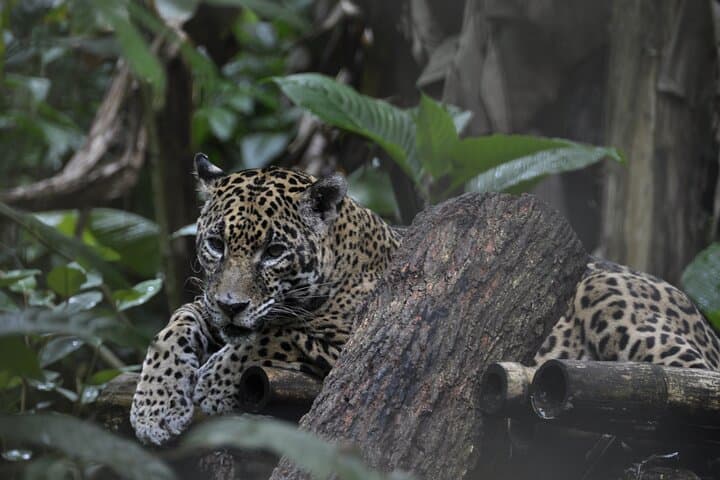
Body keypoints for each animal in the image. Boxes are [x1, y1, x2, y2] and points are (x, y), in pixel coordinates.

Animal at [130, 153, 720, 446]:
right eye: (215, 244)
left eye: (273, 252)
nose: (231, 304)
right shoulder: (207, 308)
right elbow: (177, 322)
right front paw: (154, 407)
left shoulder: (355, 341)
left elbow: (276, 333)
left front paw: (211, 382)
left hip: (622, 313)